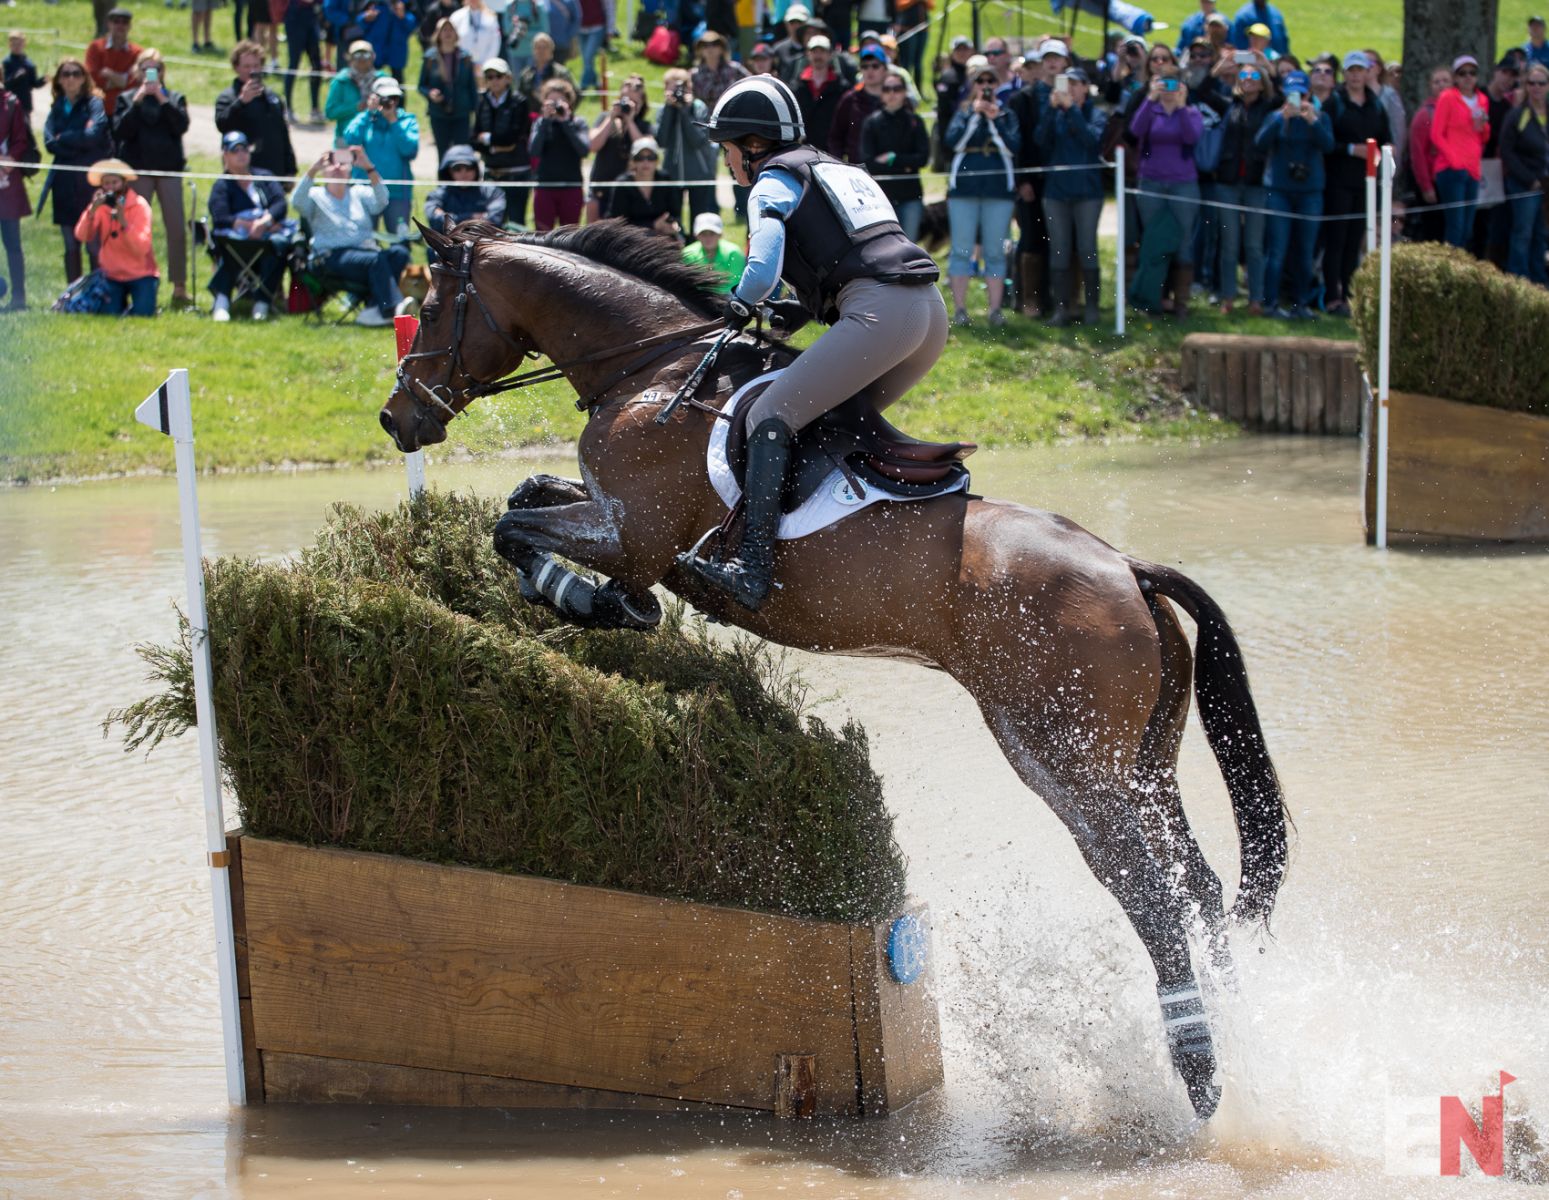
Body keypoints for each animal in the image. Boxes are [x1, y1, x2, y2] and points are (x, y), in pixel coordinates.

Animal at [381, 219, 1288, 1121]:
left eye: (435, 305)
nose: (396, 418)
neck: (651, 370)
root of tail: (1126, 568)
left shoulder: (630, 532)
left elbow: (516, 526)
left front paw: (590, 600)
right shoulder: (612, 520)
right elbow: (526, 496)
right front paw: (590, 598)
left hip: (1061, 756)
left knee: (1150, 894)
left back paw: (1199, 1070)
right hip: (1142, 760)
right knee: (1197, 883)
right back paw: (1239, 1033)